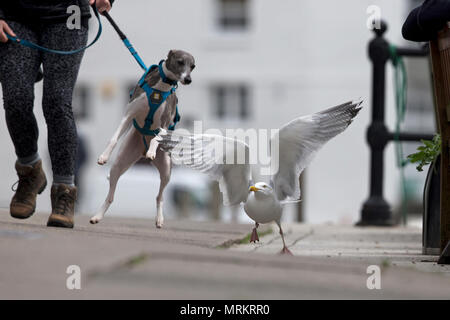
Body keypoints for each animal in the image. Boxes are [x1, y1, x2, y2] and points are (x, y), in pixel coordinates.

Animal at [90, 49, 196, 228]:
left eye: (193, 66)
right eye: (180, 62)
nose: (188, 80)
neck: (160, 88)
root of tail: (141, 150)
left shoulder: (165, 122)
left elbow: (156, 137)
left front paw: (152, 150)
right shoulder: (128, 114)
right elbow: (113, 138)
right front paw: (103, 156)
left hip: (166, 170)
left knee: (159, 197)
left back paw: (159, 219)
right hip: (119, 164)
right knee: (110, 196)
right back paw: (97, 216)